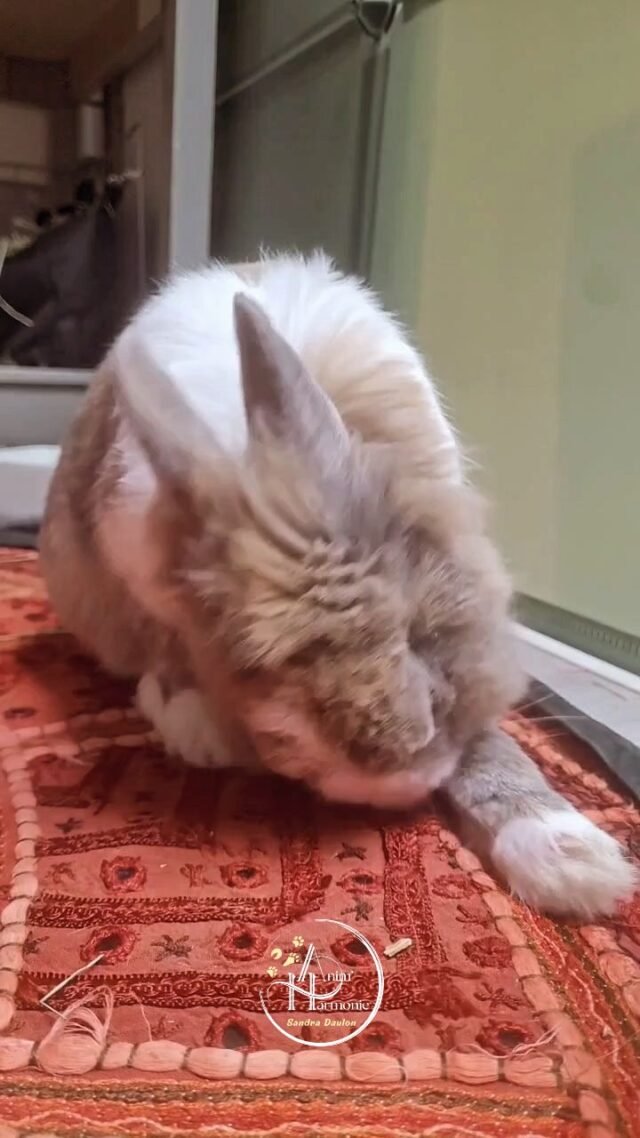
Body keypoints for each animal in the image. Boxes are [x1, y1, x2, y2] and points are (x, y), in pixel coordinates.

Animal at [40, 251, 636, 919]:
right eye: (264, 692)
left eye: (420, 636)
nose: (400, 783)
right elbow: (162, 638)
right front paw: (193, 719)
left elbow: (494, 741)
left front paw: (572, 859)